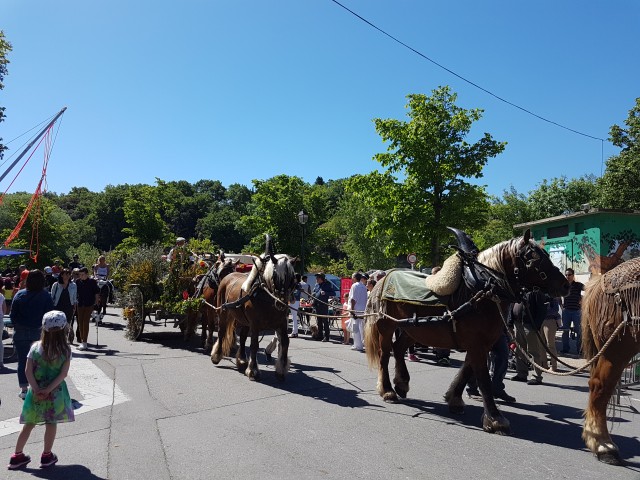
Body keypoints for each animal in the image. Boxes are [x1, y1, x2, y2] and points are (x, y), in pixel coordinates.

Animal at [212, 234, 298, 380]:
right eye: (275, 276)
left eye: (292, 278)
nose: (281, 304)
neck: (267, 296)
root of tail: (228, 277)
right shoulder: (255, 324)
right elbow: (254, 345)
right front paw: (253, 370)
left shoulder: (281, 323)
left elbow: (285, 342)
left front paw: (281, 369)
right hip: (223, 313)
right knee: (222, 332)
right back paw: (216, 356)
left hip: (243, 320)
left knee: (242, 336)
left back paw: (242, 360)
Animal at [362, 229, 568, 436]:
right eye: (532, 258)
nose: (565, 284)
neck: (482, 290)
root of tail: (383, 278)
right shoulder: (477, 344)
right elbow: (483, 379)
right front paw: (495, 419)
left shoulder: (480, 344)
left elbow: (467, 370)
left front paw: (454, 399)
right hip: (386, 327)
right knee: (384, 355)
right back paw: (387, 390)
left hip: (413, 329)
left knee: (398, 349)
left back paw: (402, 383)